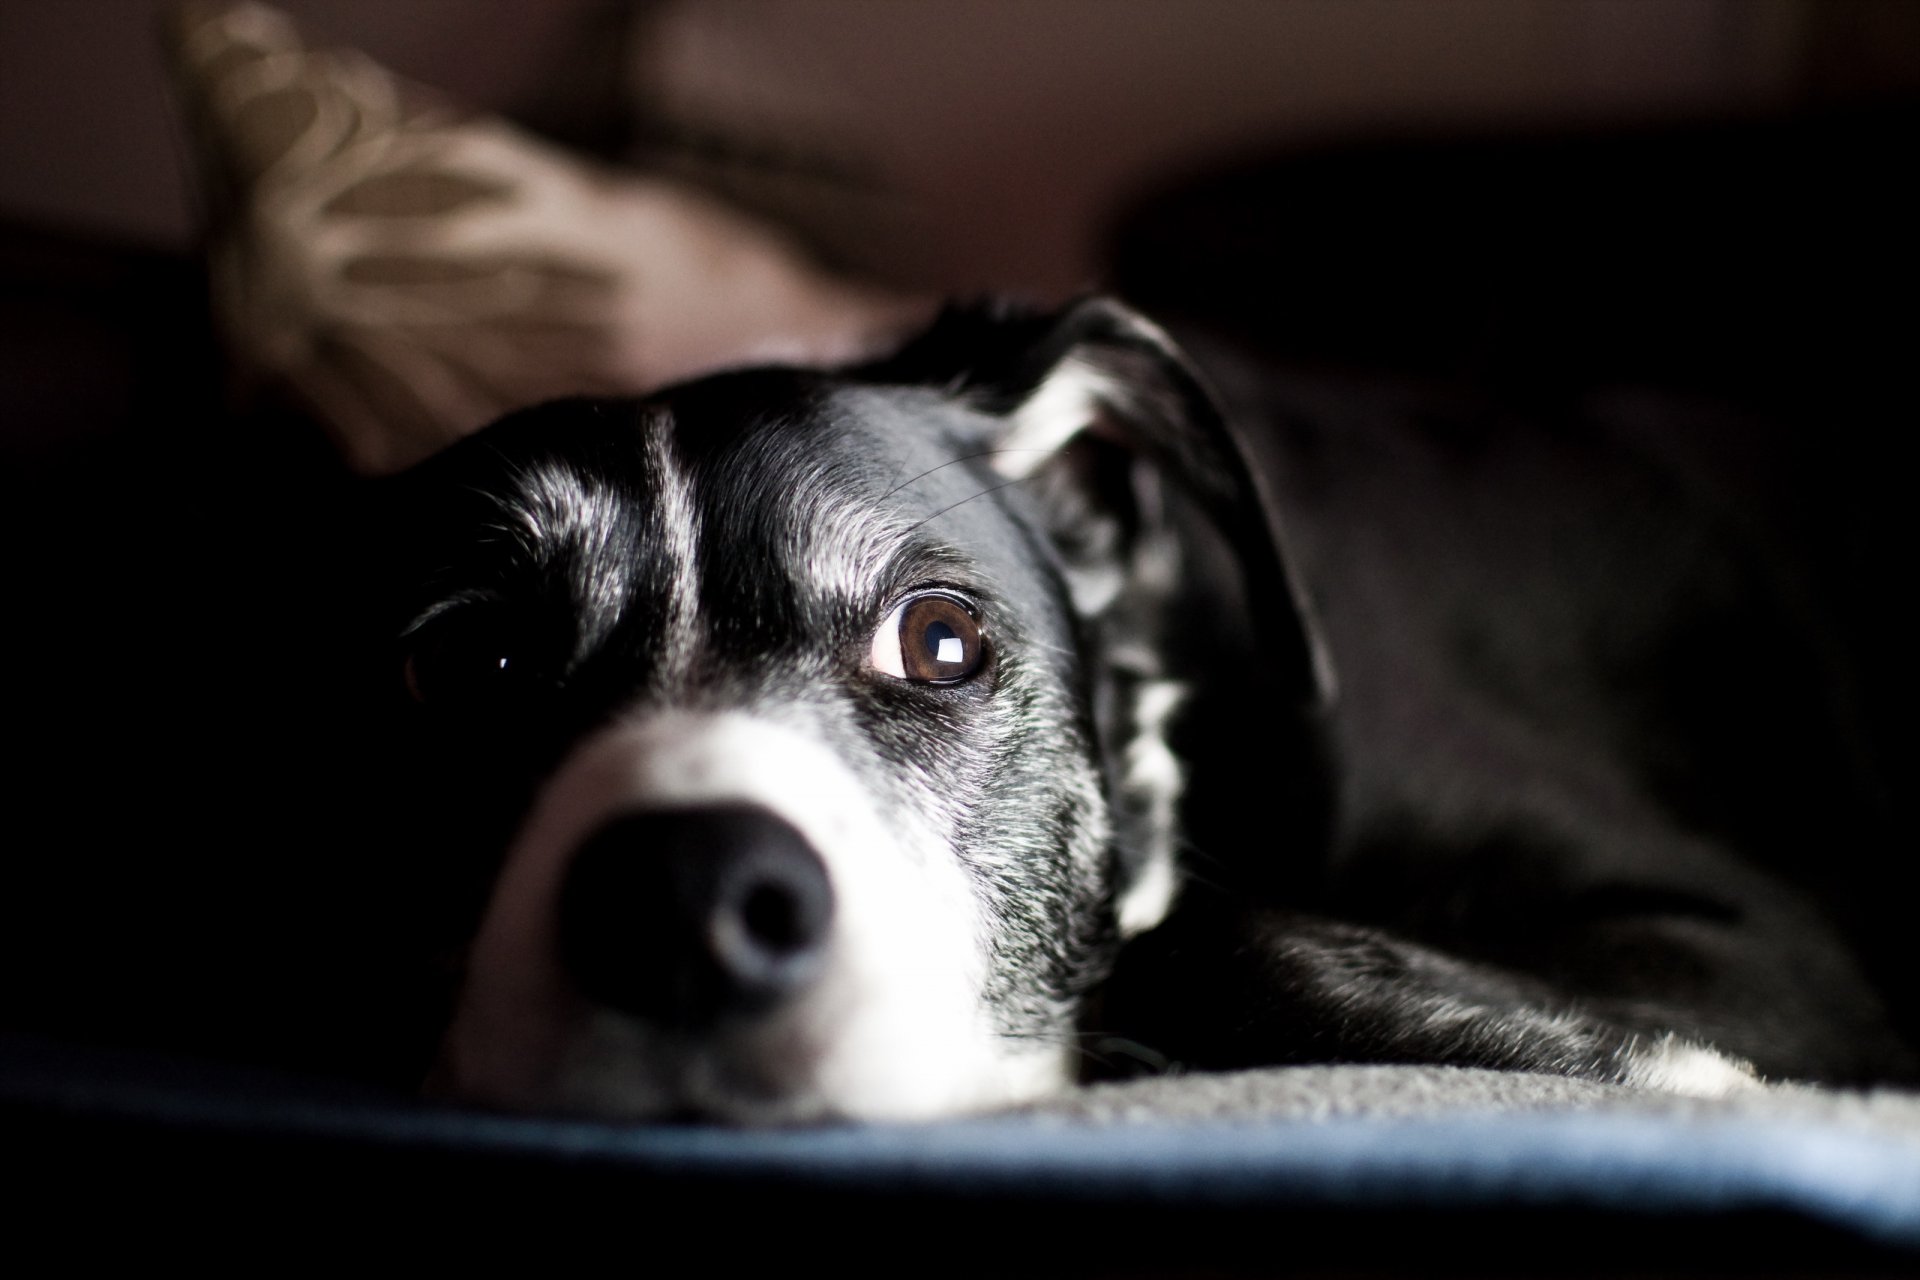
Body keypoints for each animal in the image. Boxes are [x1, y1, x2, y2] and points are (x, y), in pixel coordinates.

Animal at [284, 297, 1904, 1120]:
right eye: (463, 669)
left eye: (940, 642)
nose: (684, 899)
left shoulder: (1766, 948)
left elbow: (1206, 940)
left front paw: (1692, 1071)